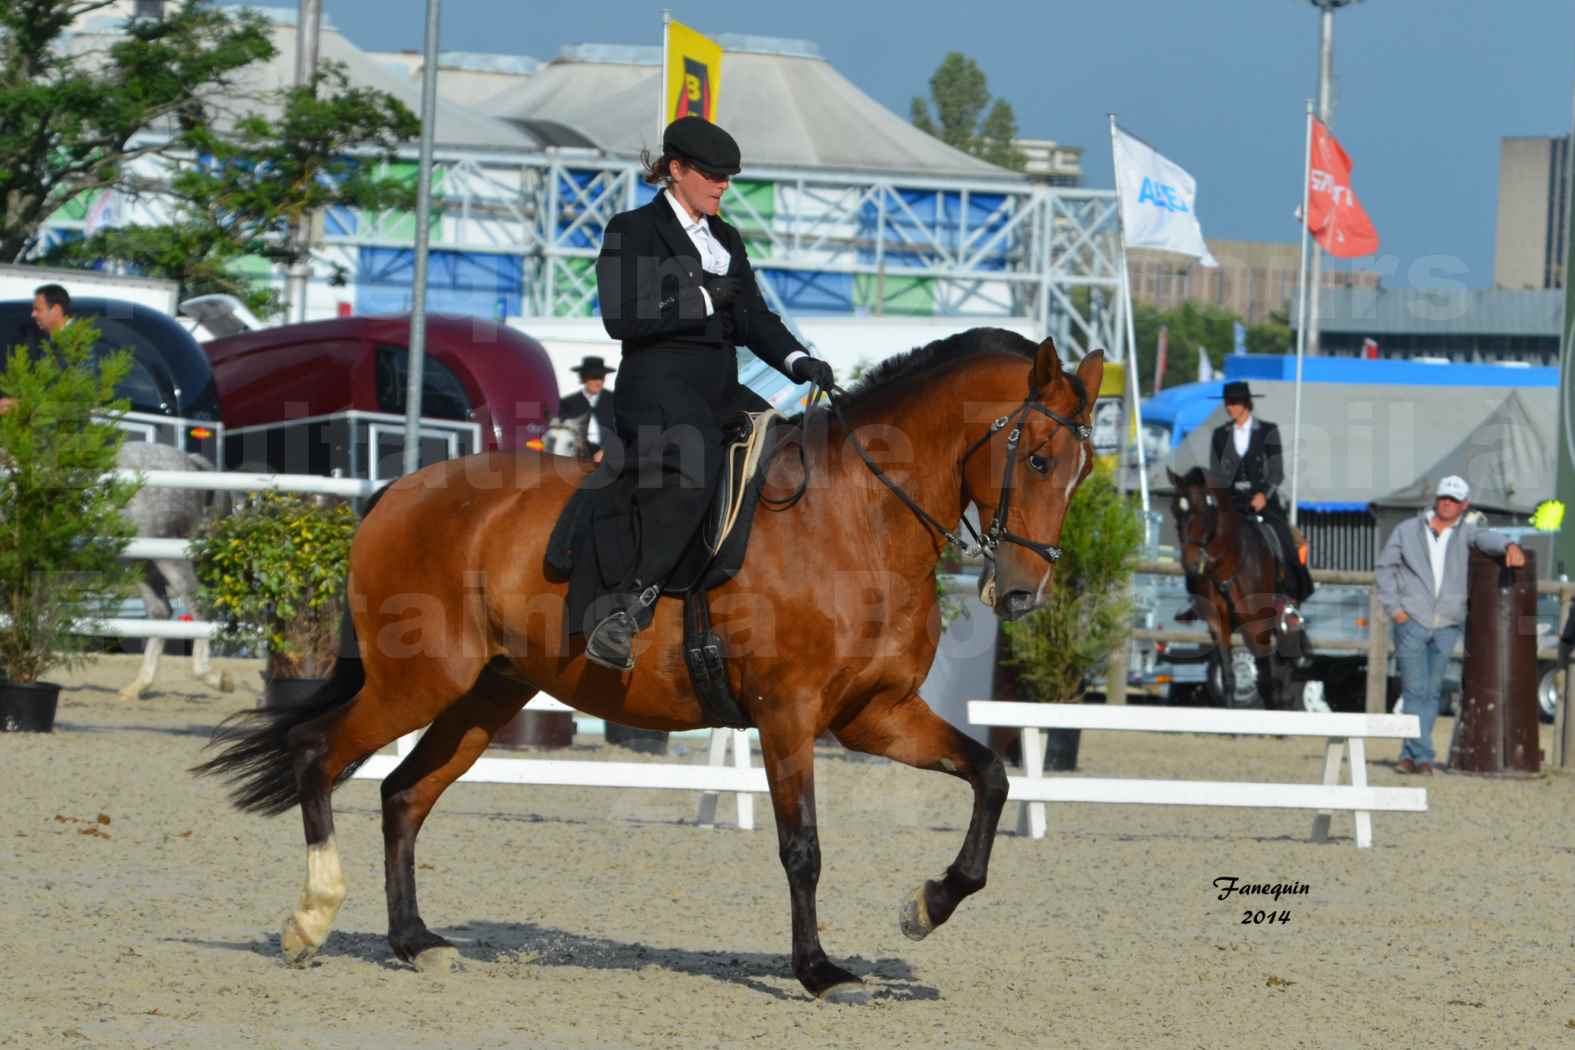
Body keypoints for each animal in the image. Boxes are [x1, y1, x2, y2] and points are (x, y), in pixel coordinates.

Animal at [116, 440, 233, 702]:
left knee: (198, 603)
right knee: (160, 611)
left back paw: (211, 676)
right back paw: (138, 685)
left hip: (165, 552)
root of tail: (190, 461)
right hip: (141, 558)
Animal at [196, 329, 1102, 1001]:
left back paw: (416, 942)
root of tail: (401, 489)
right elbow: (801, 847)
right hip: (416, 681)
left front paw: (926, 905)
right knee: (320, 755)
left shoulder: (872, 715)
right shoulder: (789, 715)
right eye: (1036, 458)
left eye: (1081, 471)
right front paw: (818, 971)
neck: (859, 517)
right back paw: (311, 920)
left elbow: (991, 776)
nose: (1021, 593)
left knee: (402, 794)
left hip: (484, 696)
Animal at [1171, 462, 1304, 711]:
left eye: (1203, 510)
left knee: (1280, 670)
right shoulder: (1217, 622)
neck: (1225, 564)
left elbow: (1266, 677)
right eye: (1175, 511)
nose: (1191, 564)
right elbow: (1229, 677)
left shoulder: (1257, 623)